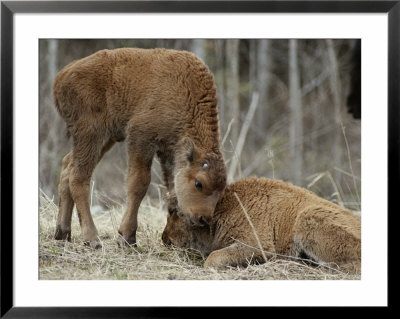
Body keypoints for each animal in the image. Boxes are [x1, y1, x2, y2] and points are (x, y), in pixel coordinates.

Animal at [53, 47, 227, 249]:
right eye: (199, 183)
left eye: (221, 190)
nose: (203, 218)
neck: (187, 93)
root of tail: (61, 77)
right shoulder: (141, 138)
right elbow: (139, 184)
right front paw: (127, 237)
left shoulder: (167, 151)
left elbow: (172, 190)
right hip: (91, 133)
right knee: (78, 177)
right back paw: (92, 239)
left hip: (106, 138)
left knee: (67, 166)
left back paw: (62, 233)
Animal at [161, 176, 360, 274]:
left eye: (172, 211)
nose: (165, 239)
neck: (225, 206)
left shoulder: (256, 246)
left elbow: (213, 257)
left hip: (308, 219)